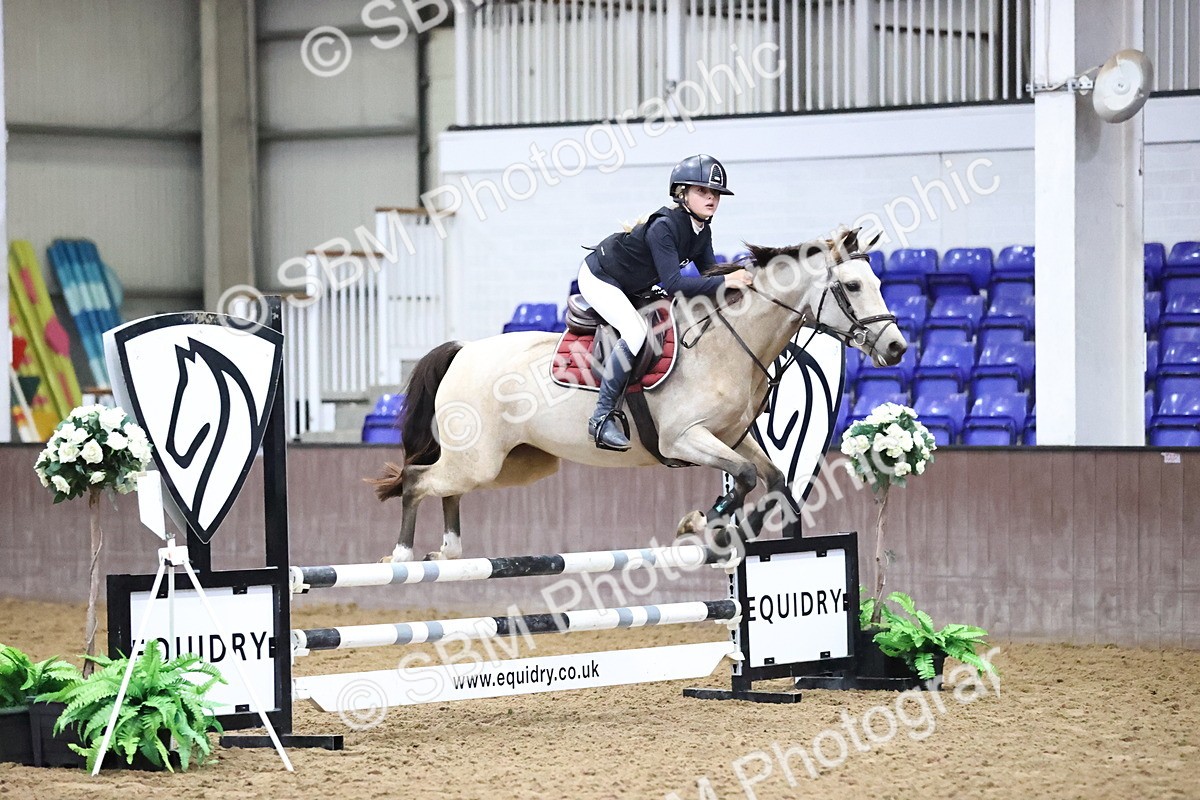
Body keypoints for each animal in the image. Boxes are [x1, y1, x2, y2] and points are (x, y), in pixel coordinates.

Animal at [368, 226, 906, 562]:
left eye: (877, 280)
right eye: (852, 285)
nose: (897, 347)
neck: (729, 341)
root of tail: (462, 352)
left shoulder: (732, 438)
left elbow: (772, 481)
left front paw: (719, 529)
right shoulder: (683, 439)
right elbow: (747, 476)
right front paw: (703, 524)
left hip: (515, 465)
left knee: (448, 486)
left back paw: (448, 550)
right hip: (480, 459)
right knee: (417, 480)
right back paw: (402, 554)